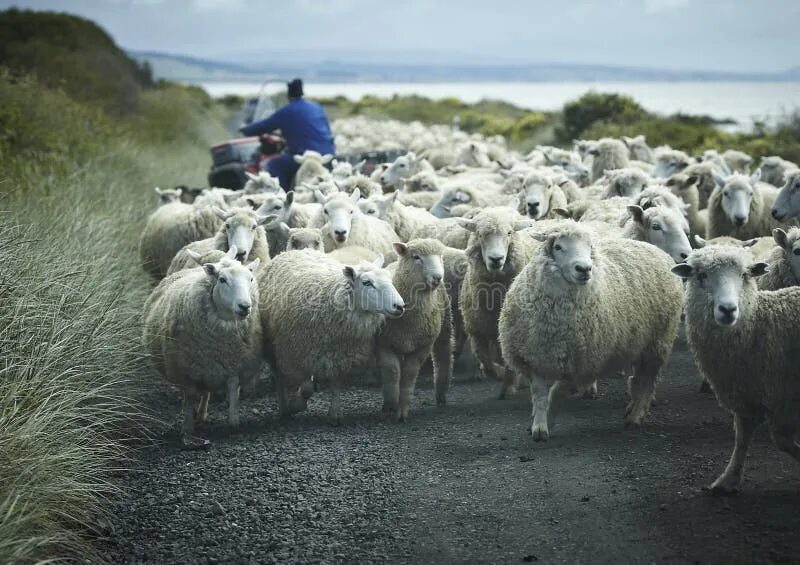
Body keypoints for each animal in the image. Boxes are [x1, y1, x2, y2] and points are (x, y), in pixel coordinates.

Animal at [141, 247, 260, 446]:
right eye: (222, 280)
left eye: (250, 279)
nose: (245, 306)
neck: (218, 341)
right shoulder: (186, 372)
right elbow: (189, 399)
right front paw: (187, 429)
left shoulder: (234, 366)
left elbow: (233, 397)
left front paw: (234, 425)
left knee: (206, 393)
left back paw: (202, 414)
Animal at [376, 238, 454, 418]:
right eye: (416, 257)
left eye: (440, 257)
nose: (437, 277)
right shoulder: (384, 343)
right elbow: (393, 372)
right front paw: (391, 405)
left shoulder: (422, 347)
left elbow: (409, 374)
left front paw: (403, 409)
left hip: (445, 325)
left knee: (443, 356)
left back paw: (441, 394)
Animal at [456, 206, 536, 396]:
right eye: (479, 234)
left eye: (509, 233)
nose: (496, 259)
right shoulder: (476, 329)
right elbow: (485, 361)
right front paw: (497, 373)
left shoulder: (510, 332)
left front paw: (509, 387)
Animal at [500, 221, 680, 440]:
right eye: (558, 247)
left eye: (589, 247)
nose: (584, 269)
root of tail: (656, 250)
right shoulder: (536, 358)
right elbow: (540, 396)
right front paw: (539, 427)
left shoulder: (580, 362)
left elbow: (556, 393)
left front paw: (549, 418)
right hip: (641, 343)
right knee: (638, 380)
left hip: (658, 342)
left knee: (647, 381)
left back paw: (635, 417)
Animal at [672, 246, 800, 490]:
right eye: (702, 275)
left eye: (743, 275)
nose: (728, 309)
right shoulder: (747, 395)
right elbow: (743, 439)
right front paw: (727, 480)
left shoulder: (785, 399)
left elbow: (781, 440)